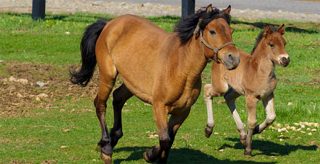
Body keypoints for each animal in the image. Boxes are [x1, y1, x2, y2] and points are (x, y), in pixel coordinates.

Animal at [70, 4, 240, 163]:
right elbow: (164, 139)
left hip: (132, 83)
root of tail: (109, 23)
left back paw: (114, 137)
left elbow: (169, 140)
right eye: (212, 31)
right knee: (100, 104)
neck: (180, 67)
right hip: (108, 76)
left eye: (231, 31)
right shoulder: (159, 107)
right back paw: (106, 148)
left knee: (117, 98)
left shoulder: (182, 112)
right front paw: (149, 155)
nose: (234, 58)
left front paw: (151, 154)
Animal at [205, 25, 290, 156]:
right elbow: (251, 121)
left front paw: (256, 130)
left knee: (228, 98)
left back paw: (243, 136)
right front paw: (248, 150)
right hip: (221, 86)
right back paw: (209, 129)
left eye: (284, 43)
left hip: (236, 90)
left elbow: (271, 117)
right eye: (271, 44)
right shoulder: (251, 97)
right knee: (207, 89)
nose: (285, 60)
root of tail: (218, 54)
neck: (259, 72)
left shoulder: (268, 95)